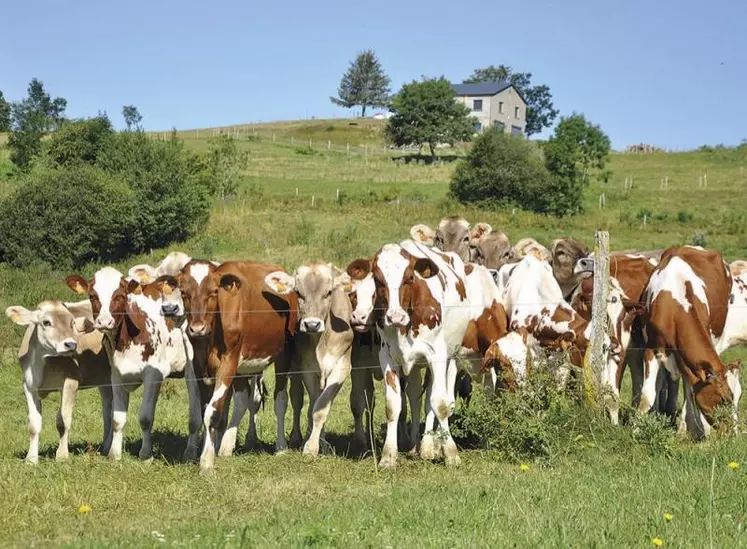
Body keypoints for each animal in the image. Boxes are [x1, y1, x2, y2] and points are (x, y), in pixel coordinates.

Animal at [4, 300, 112, 462]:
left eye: (72, 323)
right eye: (46, 322)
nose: (71, 344)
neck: (43, 362)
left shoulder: (70, 383)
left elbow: (63, 420)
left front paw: (62, 455)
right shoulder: (29, 386)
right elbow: (33, 424)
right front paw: (31, 458)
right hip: (104, 378)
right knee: (108, 408)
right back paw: (105, 446)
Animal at [64, 268, 191, 460]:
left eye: (120, 296)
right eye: (92, 296)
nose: (104, 322)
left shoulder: (154, 375)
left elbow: (145, 417)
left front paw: (145, 454)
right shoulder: (116, 375)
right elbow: (117, 418)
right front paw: (114, 454)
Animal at [176, 258, 300, 470]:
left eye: (214, 291)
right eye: (184, 292)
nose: (197, 328)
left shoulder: (228, 362)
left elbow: (213, 411)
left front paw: (206, 461)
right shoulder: (198, 367)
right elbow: (203, 411)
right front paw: (206, 451)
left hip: (284, 353)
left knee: (280, 399)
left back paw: (281, 446)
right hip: (242, 369)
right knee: (243, 399)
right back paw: (226, 446)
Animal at [264, 260, 356, 454]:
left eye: (328, 292)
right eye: (298, 292)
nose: (312, 324)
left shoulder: (341, 366)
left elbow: (321, 406)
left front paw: (317, 444)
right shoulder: (307, 368)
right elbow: (313, 406)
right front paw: (311, 445)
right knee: (291, 400)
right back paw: (290, 441)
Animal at [644, 246, 744, 438]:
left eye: (739, 397)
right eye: (724, 399)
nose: (734, 435)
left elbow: (690, 391)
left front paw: (689, 430)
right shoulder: (650, 349)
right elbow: (647, 396)